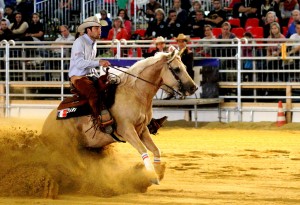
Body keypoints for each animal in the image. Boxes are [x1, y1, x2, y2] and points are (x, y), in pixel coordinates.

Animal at [42, 48, 197, 184]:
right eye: (176, 69)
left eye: (184, 66)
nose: (193, 87)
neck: (135, 93)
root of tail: (49, 121)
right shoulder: (127, 130)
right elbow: (143, 150)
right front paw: (152, 176)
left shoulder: (142, 129)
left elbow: (155, 150)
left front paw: (158, 172)